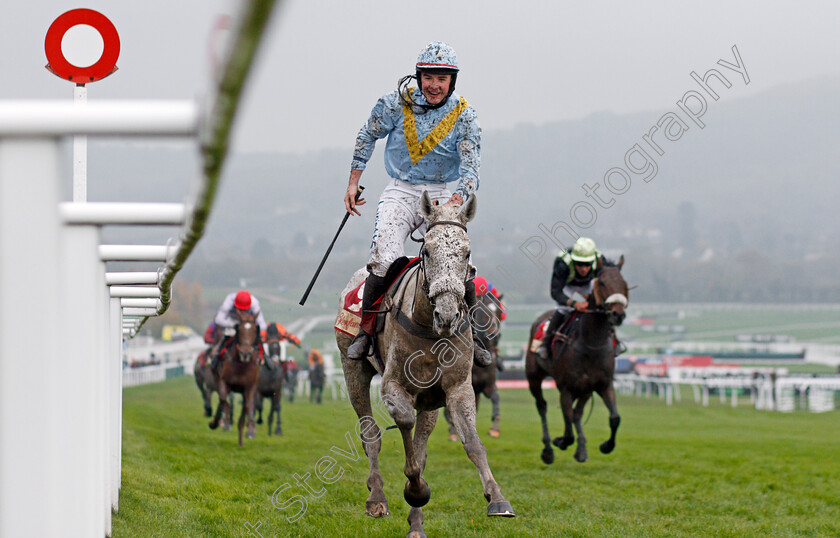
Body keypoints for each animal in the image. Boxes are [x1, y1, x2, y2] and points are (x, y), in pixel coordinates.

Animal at [208, 310, 260, 444]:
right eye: (239, 329)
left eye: (254, 330)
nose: (245, 353)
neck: (241, 364)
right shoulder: (224, 382)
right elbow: (224, 401)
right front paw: (224, 423)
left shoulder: (249, 387)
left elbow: (248, 408)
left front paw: (248, 432)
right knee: (222, 401)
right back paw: (216, 422)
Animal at [338, 193, 516, 536]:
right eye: (428, 250)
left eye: (467, 253)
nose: (447, 315)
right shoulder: (394, 384)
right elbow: (404, 424)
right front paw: (414, 488)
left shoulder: (457, 387)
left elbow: (472, 442)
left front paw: (498, 498)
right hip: (353, 370)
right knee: (370, 433)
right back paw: (377, 497)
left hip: (430, 400)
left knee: (420, 442)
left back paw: (416, 524)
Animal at [528, 255, 628, 460]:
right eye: (603, 282)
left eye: (623, 283)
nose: (618, 314)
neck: (591, 344)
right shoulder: (566, 388)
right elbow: (567, 428)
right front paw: (560, 441)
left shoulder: (602, 384)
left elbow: (614, 418)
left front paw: (606, 445)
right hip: (534, 377)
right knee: (542, 406)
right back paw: (548, 450)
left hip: (585, 390)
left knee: (577, 413)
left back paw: (581, 449)